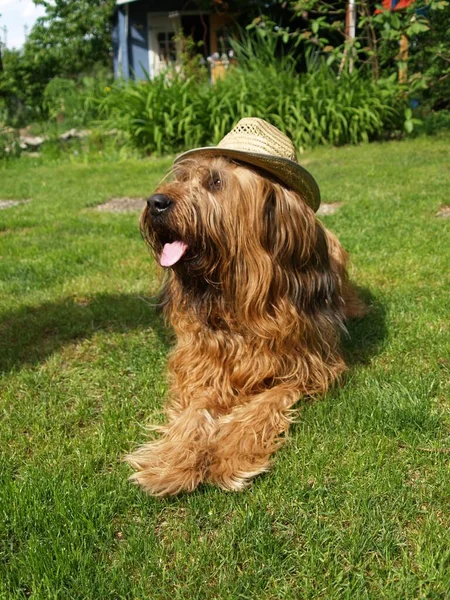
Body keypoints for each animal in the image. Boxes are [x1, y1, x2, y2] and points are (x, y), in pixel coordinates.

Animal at [126, 155, 366, 496]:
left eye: (216, 182)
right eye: (182, 178)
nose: (155, 202)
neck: (235, 299)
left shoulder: (308, 368)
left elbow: (263, 405)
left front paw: (229, 456)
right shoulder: (205, 365)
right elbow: (196, 409)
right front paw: (172, 462)